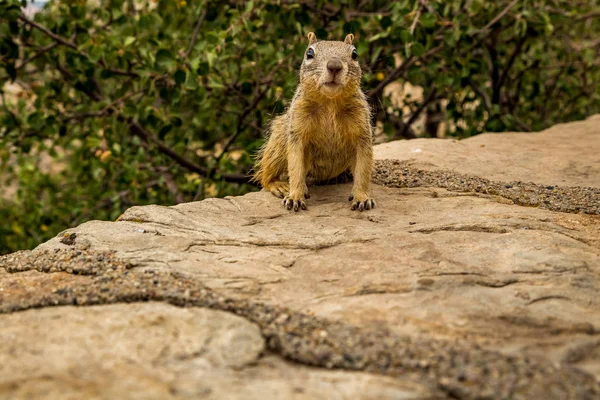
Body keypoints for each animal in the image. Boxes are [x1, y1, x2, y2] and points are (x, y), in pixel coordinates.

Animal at [252, 32, 376, 212]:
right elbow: (295, 167)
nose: (334, 66)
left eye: (355, 54)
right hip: (278, 143)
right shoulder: (297, 130)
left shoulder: (362, 131)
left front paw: (362, 198)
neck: (330, 102)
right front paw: (295, 197)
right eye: (309, 53)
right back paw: (280, 185)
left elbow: (363, 169)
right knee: (265, 176)